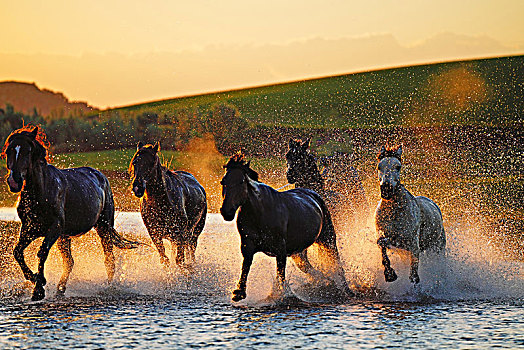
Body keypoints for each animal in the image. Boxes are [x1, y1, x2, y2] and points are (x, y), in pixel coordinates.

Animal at [1, 126, 141, 300]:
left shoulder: (54, 228)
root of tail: (102, 177)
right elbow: (18, 252)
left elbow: (42, 252)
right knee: (69, 262)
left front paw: (39, 288)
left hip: (103, 227)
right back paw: (60, 290)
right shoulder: (30, 229)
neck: (41, 191)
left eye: (27, 151)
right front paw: (35, 279)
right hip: (65, 236)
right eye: (9, 151)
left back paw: (108, 288)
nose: (14, 182)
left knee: (109, 259)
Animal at [219, 152, 350, 302]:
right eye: (223, 182)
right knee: (307, 267)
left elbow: (280, 273)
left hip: (327, 239)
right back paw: (325, 281)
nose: (226, 211)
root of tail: (314, 194)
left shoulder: (280, 249)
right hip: (299, 252)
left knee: (336, 262)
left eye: (241, 181)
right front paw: (239, 292)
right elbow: (246, 265)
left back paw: (344, 288)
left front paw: (279, 295)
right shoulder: (247, 245)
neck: (259, 212)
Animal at [374, 145, 444, 284]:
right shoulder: (382, 233)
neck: (394, 212)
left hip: (438, 248)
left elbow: (413, 275)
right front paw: (389, 274)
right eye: (379, 166)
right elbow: (381, 243)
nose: (386, 190)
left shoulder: (411, 243)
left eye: (398, 166)